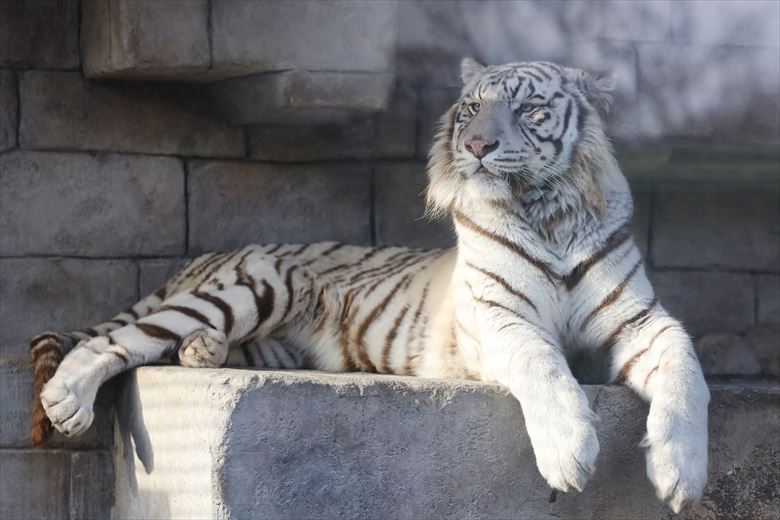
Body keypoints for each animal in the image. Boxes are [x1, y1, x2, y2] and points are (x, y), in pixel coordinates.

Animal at [32, 60, 708, 512]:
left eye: (527, 110)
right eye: (471, 109)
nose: (476, 144)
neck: (550, 214)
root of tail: (207, 255)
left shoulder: (642, 319)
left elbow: (687, 373)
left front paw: (682, 474)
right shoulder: (497, 316)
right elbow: (541, 362)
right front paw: (569, 453)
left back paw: (201, 351)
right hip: (259, 282)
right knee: (116, 339)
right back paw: (68, 399)